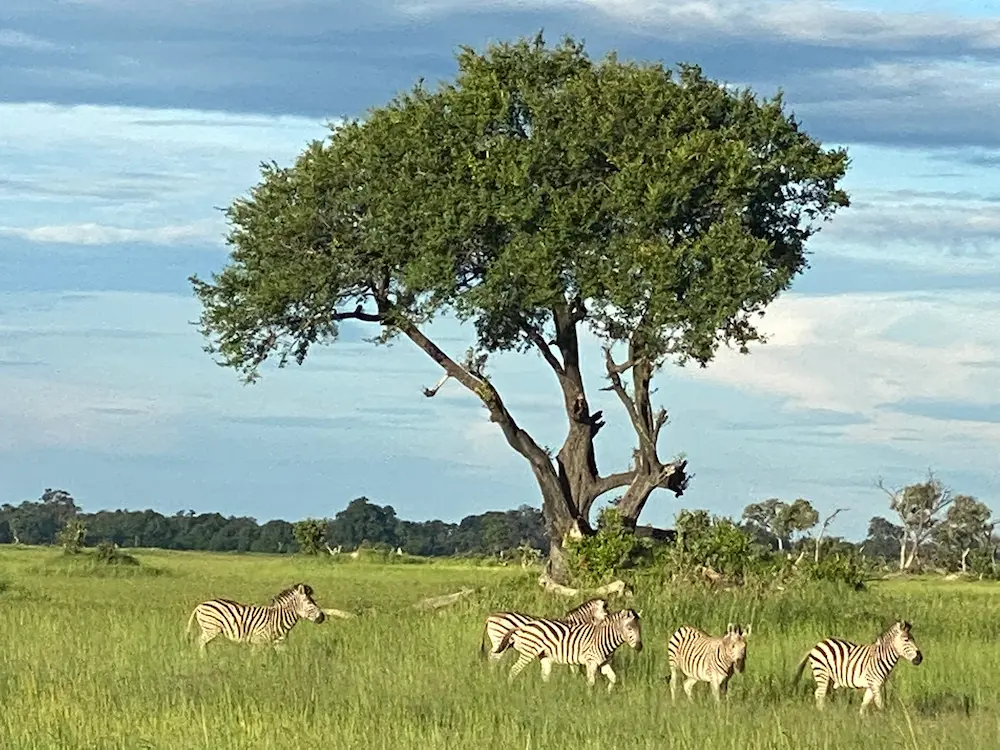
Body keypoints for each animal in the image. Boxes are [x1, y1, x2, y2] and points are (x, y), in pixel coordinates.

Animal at [185, 582, 326, 656]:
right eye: (310, 604)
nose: (322, 617)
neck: (278, 618)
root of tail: (200, 605)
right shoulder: (259, 640)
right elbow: (255, 658)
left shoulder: (277, 643)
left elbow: (283, 655)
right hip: (211, 629)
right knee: (200, 642)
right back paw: (204, 659)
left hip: (209, 629)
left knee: (202, 643)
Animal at [500, 608, 643, 691]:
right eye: (629, 627)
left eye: (640, 628)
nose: (639, 647)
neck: (603, 637)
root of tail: (524, 626)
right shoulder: (591, 662)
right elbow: (591, 682)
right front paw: (589, 698)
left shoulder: (604, 662)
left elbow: (613, 678)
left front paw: (608, 693)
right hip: (529, 652)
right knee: (514, 670)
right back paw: (509, 689)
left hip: (544, 655)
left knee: (544, 676)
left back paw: (547, 694)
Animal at [794, 620, 923, 714]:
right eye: (906, 640)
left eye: (913, 639)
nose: (920, 658)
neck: (880, 658)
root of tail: (818, 644)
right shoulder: (875, 684)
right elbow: (880, 705)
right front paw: (885, 722)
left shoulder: (872, 685)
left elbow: (864, 704)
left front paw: (862, 723)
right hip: (822, 673)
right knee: (820, 694)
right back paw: (822, 714)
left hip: (829, 678)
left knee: (818, 693)